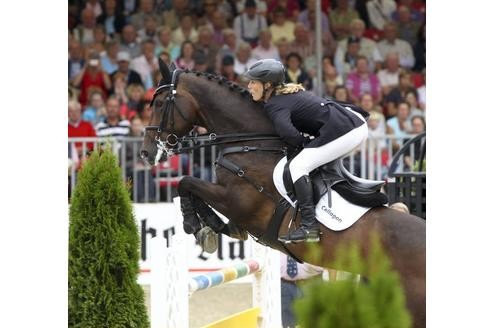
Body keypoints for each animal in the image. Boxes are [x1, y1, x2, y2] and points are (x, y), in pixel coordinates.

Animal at [140, 62, 426, 328]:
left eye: (161, 103)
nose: (145, 153)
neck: (252, 144)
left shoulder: (236, 201)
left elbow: (186, 183)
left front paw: (195, 224)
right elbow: (201, 198)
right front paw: (210, 228)